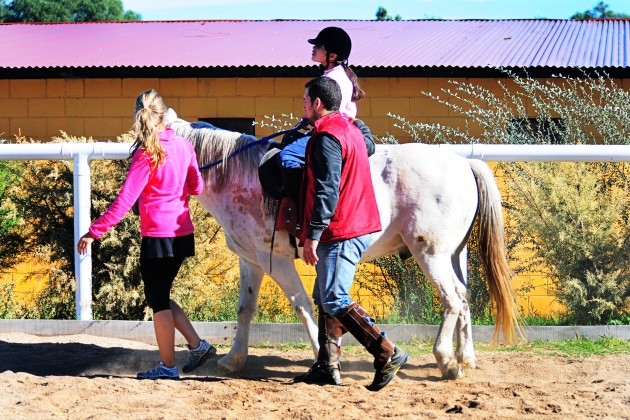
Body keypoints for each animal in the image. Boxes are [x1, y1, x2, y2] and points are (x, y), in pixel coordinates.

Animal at [170, 119, 520, 380]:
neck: (242, 175)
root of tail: (464, 163)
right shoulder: (251, 260)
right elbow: (245, 309)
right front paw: (233, 359)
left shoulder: (277, 262)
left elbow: (302, 306)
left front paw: (321, 356)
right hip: (454, 253)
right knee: (463, 298)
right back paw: (466, 356)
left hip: (431, 253)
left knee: (452, 298)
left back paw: (446, 360)